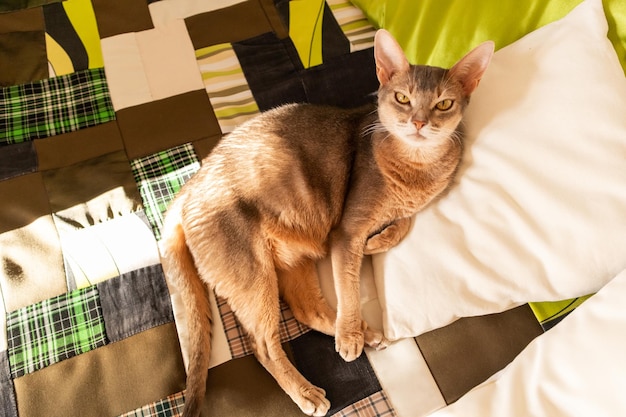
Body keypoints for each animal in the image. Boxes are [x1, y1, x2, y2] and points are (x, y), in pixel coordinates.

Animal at [158, 30, 490, 416]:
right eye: (403, 98)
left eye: (443, 104)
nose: (419, 123)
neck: (415, 169)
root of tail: (188, 187)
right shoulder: (346, 231)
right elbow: (348, 285)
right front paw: (347, 335)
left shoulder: (401, 211)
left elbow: (405, 223)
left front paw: (378, 243)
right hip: (254, 275)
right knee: (262, 343)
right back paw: (309, 388)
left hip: (293, 258)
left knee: (306, 310)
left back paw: (364, 332)